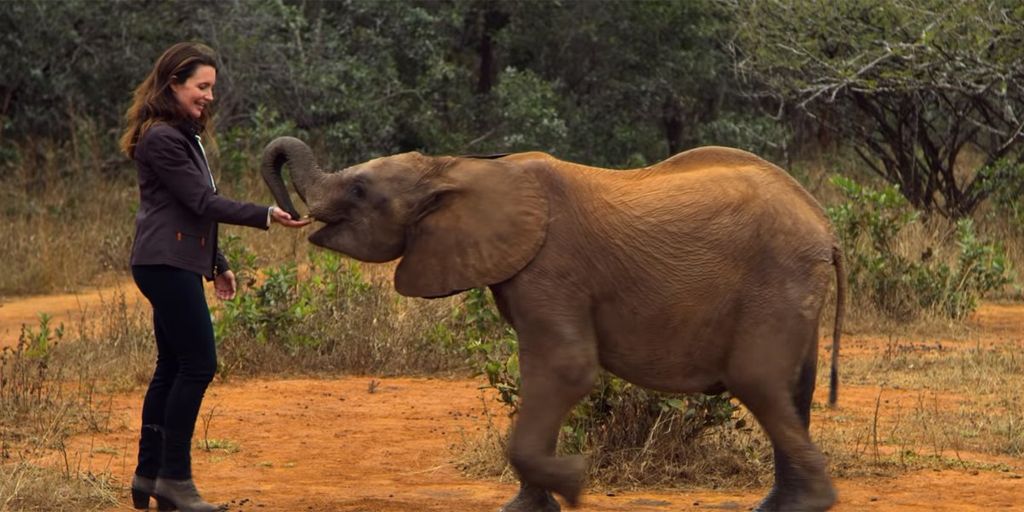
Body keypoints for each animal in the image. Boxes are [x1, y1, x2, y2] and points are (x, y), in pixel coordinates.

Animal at [260, 137, 845, 512]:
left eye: (360, 190)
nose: (286, 213)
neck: (452, 166)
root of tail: (825, 225)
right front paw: (529, 506)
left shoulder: (551, 265)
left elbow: (565, 370)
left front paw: (576, 483)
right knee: (793, 389)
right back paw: (779, 504)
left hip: (777, 277)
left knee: (758, 380)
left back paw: (806, 505)